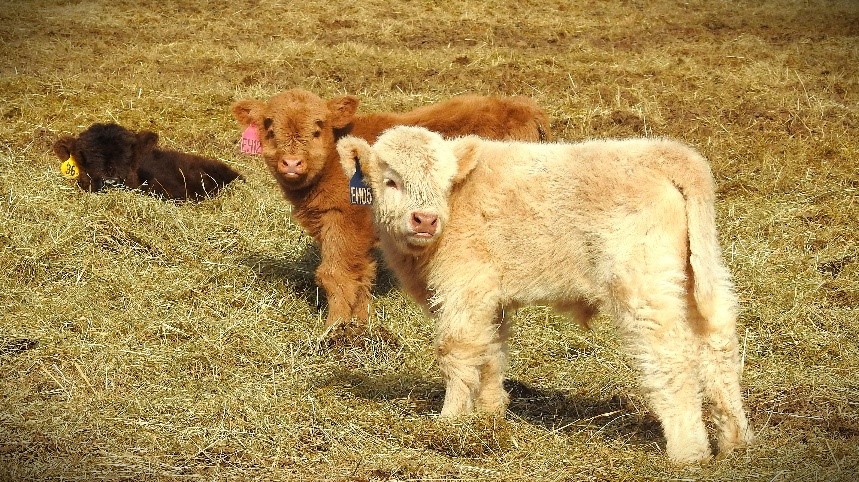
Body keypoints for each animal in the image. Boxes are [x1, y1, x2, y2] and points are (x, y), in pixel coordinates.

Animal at [231, 88, 550, 341]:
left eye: (318, 128)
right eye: (270, 128)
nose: (292, 163)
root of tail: (523, 107)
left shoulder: (344, 223)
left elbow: (335, 274)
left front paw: (333, 331)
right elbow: (361, 275)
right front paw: (359, 325)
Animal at [335, 125, 753, 464]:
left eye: (446, 181)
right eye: (391, 181)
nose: (425, 219)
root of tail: (665, 152)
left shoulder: (464, 288)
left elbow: (458, 349)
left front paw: (450, 422)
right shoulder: (491, 296)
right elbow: (492, 351)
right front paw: (490, 414)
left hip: (645, 281)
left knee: (673, 353)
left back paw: (689, 451)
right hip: (699, 270)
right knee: (718, 341)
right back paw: (735, 440)